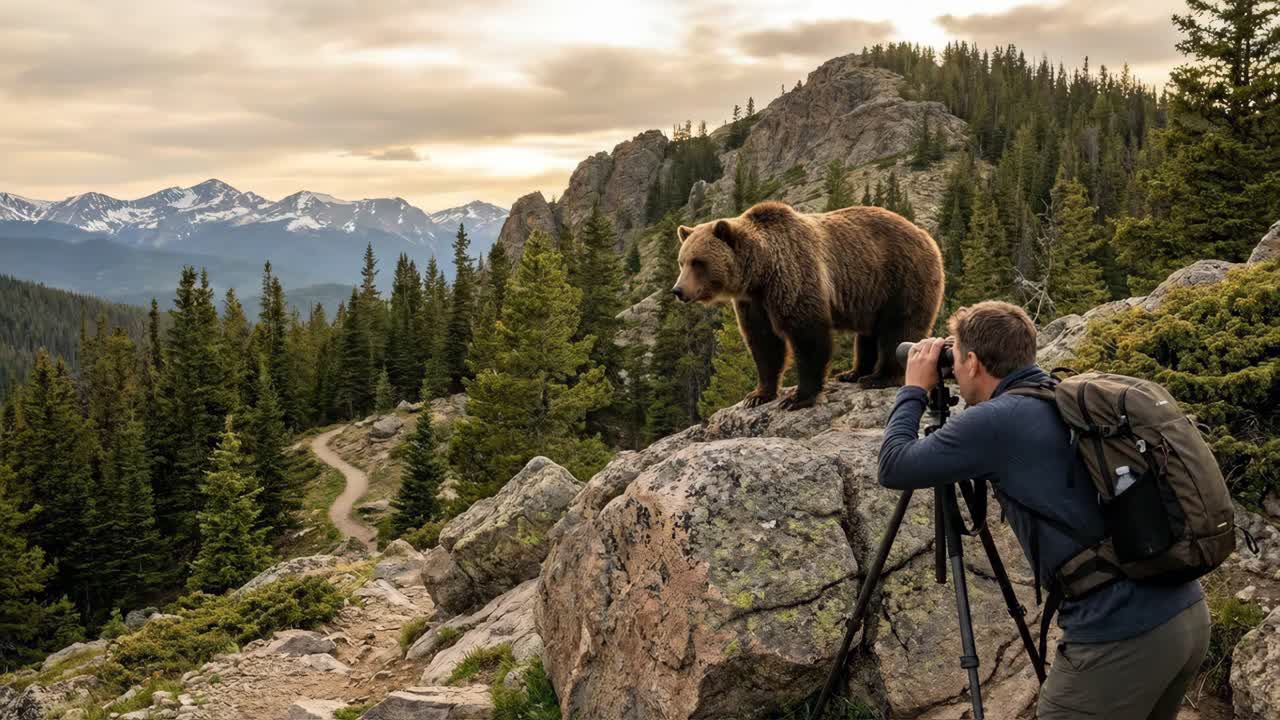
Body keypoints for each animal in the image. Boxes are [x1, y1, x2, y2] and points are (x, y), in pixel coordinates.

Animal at [671, 200, 944, 411]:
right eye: (682, 261)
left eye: (698, 262)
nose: (678, 290)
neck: (761, 272)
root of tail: (925, 235)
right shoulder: (754, 302)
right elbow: (764, 344)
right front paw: (758, 395)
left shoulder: (794, 278)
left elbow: (808, 336)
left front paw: (798, 398)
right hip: (872, 293)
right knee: (868, 334)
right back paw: (852, 373)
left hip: (903, 277)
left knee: (898, 329)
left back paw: (879, 378)